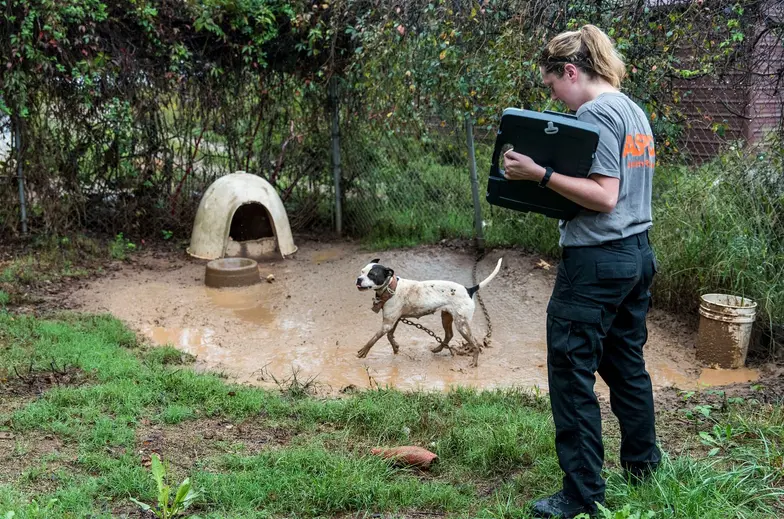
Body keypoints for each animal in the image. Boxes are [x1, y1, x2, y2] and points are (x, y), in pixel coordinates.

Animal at [356, 258, 502, 368]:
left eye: (372, 274)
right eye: (362, 271)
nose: (358, 279)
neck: (391, 288)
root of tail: (469, 289)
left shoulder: (387, 324)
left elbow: (373, 339)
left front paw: (364, 351)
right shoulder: (393, 321)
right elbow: (389, 336)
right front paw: (396, 347)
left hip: (462, 325)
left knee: (475, 344)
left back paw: (474, 362)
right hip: (446, 317)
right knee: (449, 335)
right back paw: (438, 348)